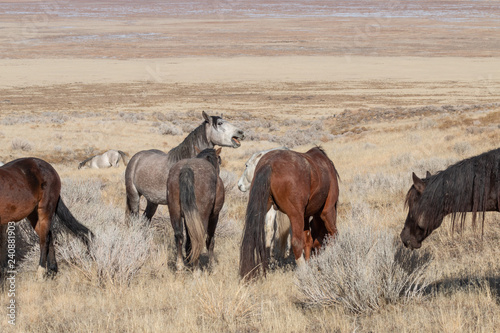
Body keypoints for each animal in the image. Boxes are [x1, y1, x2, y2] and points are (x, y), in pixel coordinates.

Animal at [238, 147, 340, 278]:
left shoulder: (305, 216)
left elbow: (308, 240)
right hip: (296, 214)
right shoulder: (327, 211)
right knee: (296, 242)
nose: (240, 185)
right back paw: (303, 271)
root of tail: (269, 164)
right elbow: (333, 234)